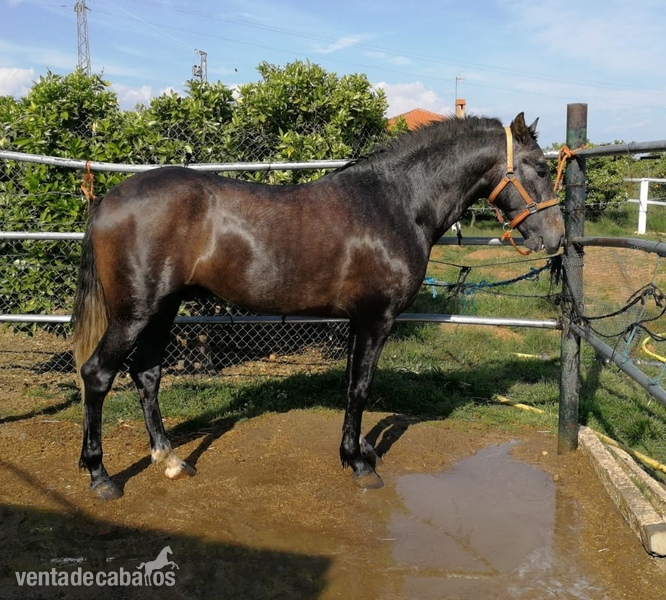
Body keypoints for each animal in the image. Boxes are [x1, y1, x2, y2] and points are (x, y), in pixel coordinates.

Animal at [72, 113, 565, 500]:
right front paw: (360, 465)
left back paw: (171, 459)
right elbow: (361, 389)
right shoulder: (377, 320)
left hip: (162, 309)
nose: (557, 237)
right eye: (540, 168)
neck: (395, 203)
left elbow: (351, 387)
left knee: (147, 375)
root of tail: (107, 200)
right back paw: (101, 476)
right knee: (97, 375)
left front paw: (357, 451)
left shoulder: (357, 322)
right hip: (134, 313)